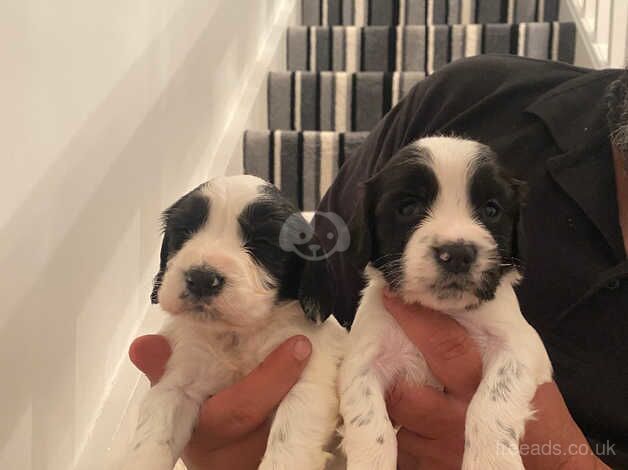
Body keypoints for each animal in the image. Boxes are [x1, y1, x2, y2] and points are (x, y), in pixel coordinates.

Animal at [120, 174, 346, 470]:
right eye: (184, 232)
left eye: (262, 243)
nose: (202, 278)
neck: (237, 335)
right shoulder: (179, 378)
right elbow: (153, 433)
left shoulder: (310, 375)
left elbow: (288, 442)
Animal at [340, 137, 552, 470]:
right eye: (408, 207)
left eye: (491, 209)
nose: (457, 254)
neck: (445, 310)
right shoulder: (362, 361)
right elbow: (369, 422)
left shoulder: (521, 344)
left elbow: (492, 399)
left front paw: (492, 461)